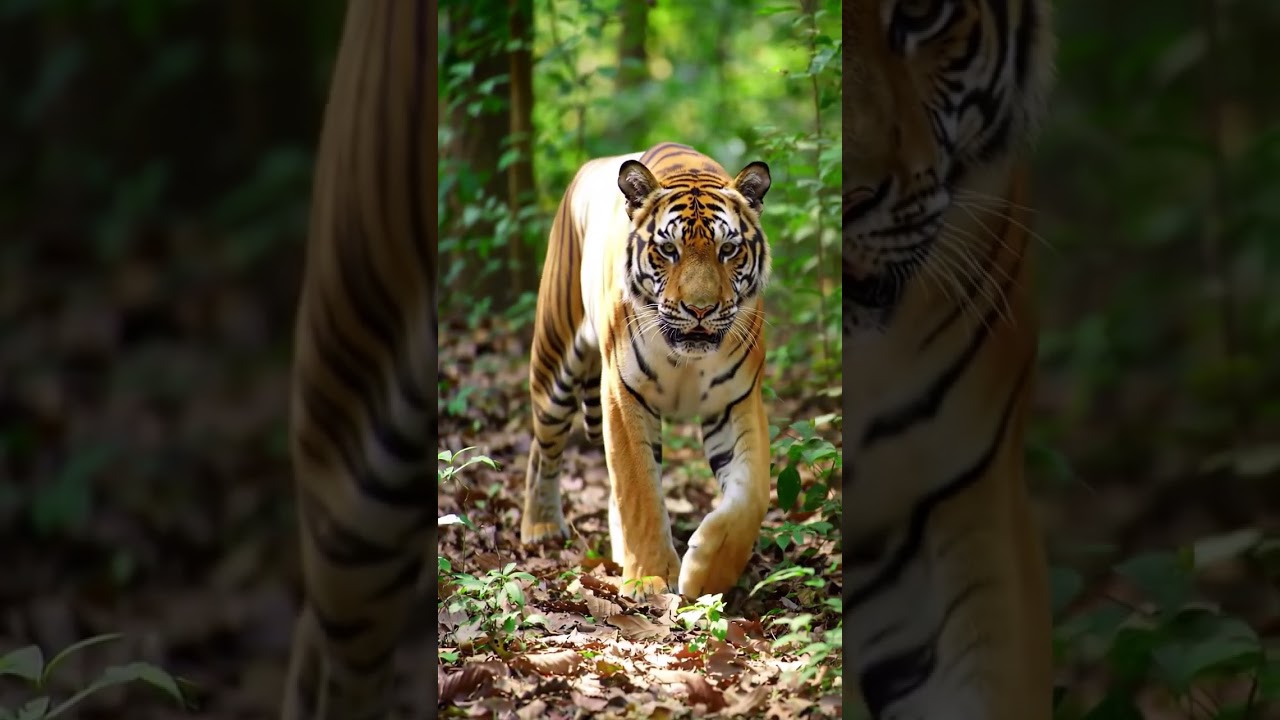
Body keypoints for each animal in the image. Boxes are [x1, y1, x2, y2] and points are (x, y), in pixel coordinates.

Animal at [520, 142, 774, 600]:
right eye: (668, 250)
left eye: (728, 250)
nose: (700, 309)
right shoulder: (623, 395)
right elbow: (638, 488)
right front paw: (650, 579)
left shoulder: (738, 400)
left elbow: (751, 496)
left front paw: (705, 575)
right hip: (553, 362)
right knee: (542, 447)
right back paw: (541, 526)